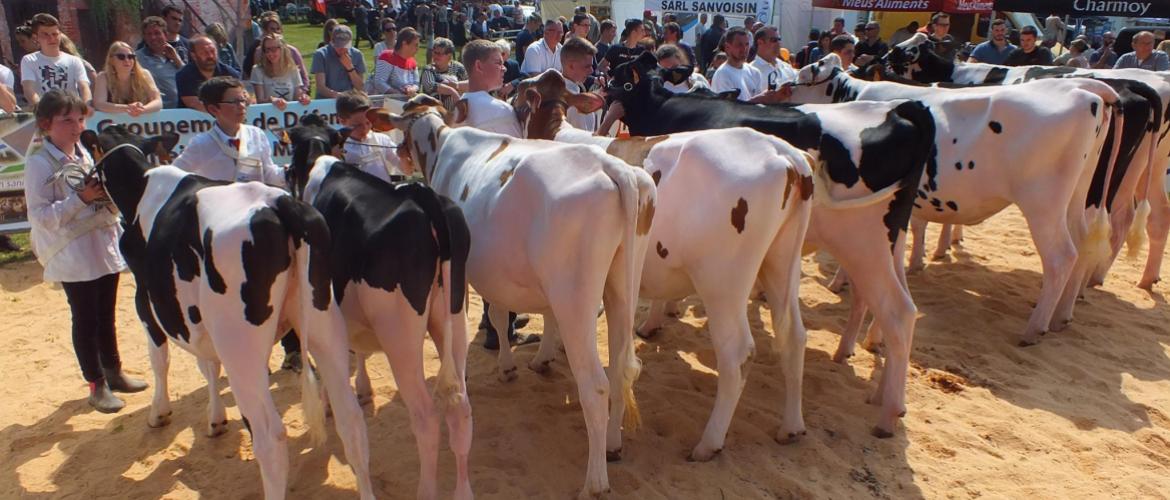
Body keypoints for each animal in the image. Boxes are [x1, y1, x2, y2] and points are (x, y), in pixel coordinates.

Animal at [81, 126, 374, 500]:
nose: (84, 187)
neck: (141, 189)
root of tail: (282, 203)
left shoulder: (147, 301)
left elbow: (161, 359)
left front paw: (159, 413)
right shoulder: (197, 316)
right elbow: (208, 364)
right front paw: (216, 419)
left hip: (240, 343)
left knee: (270, 438)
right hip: (324, 323)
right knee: (351, 421)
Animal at [285, 115, 472, 500]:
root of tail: (423, 196)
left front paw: (334, 400)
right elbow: (357, 350)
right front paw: (362, 387)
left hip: (399, 334)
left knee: (426, 417)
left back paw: (425, 491)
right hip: (454, 318)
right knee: (461, 409)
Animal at [608, 52, 935, 440]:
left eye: (618, 77)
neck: (665, 105)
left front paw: (655, 319)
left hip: (857, 243)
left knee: (892, 311)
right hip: (881, 240)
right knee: (887, 310)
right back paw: (873, 396)